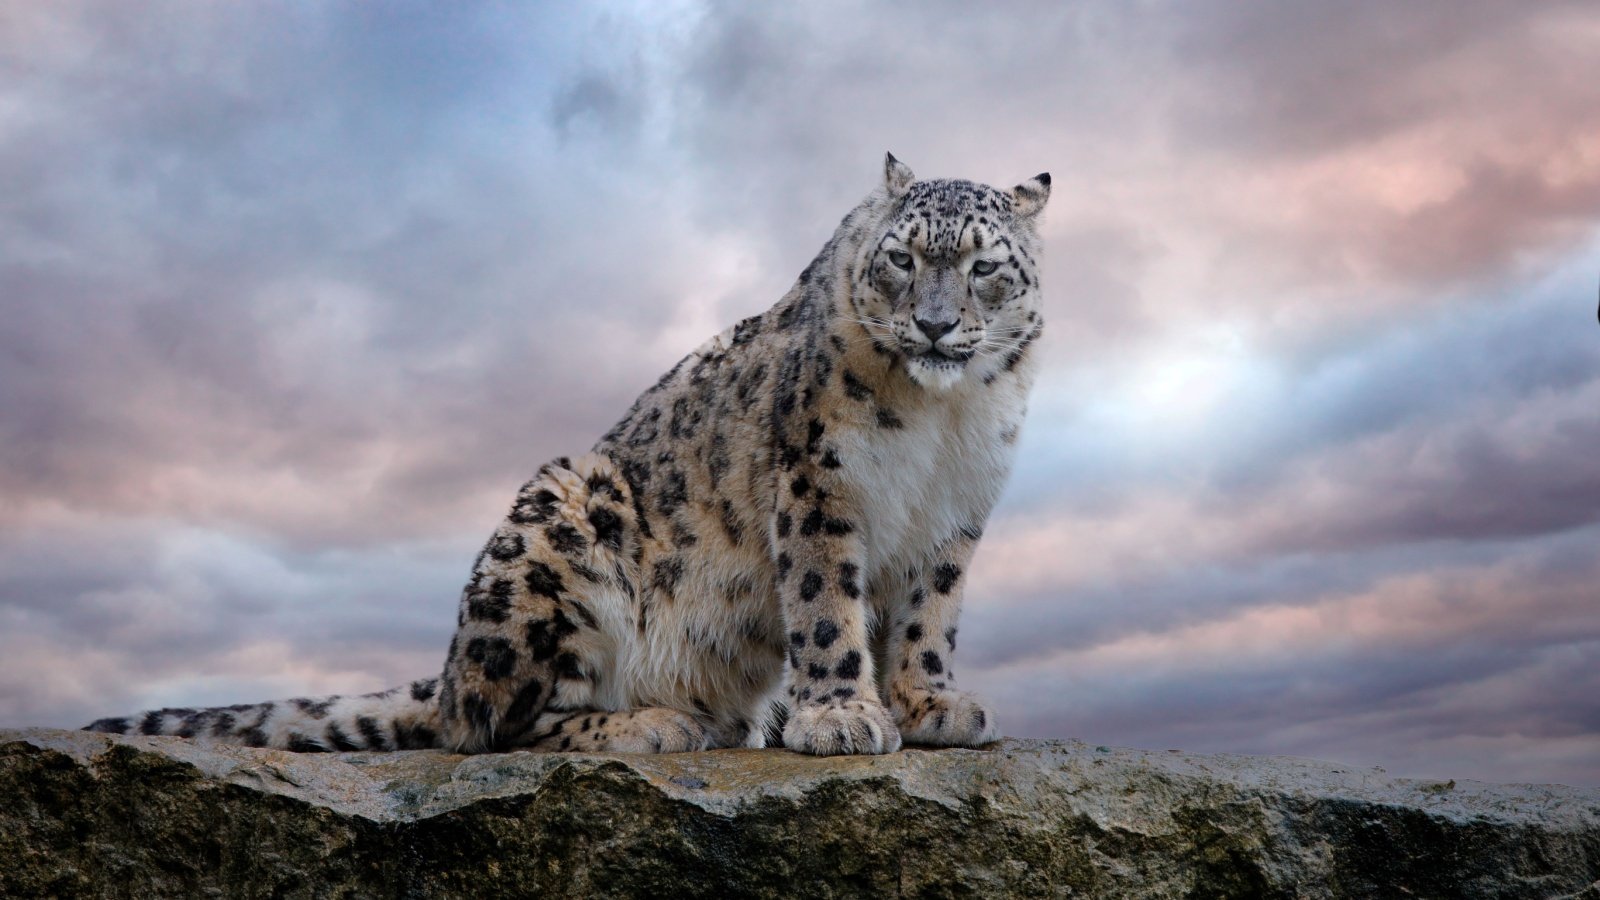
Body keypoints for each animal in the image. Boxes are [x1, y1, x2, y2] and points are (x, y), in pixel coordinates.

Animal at [93, 156, 1056, 755]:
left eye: (983, 268)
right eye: (901, 259)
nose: (932, 324)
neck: (944, 421)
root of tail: (451, 666)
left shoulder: (954, 515)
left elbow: (928, 617)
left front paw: (930, 704)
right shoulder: (819, 482)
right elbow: (826, 605)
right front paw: (843, 717)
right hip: (554, 534)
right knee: (488, 726)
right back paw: (649, 725)